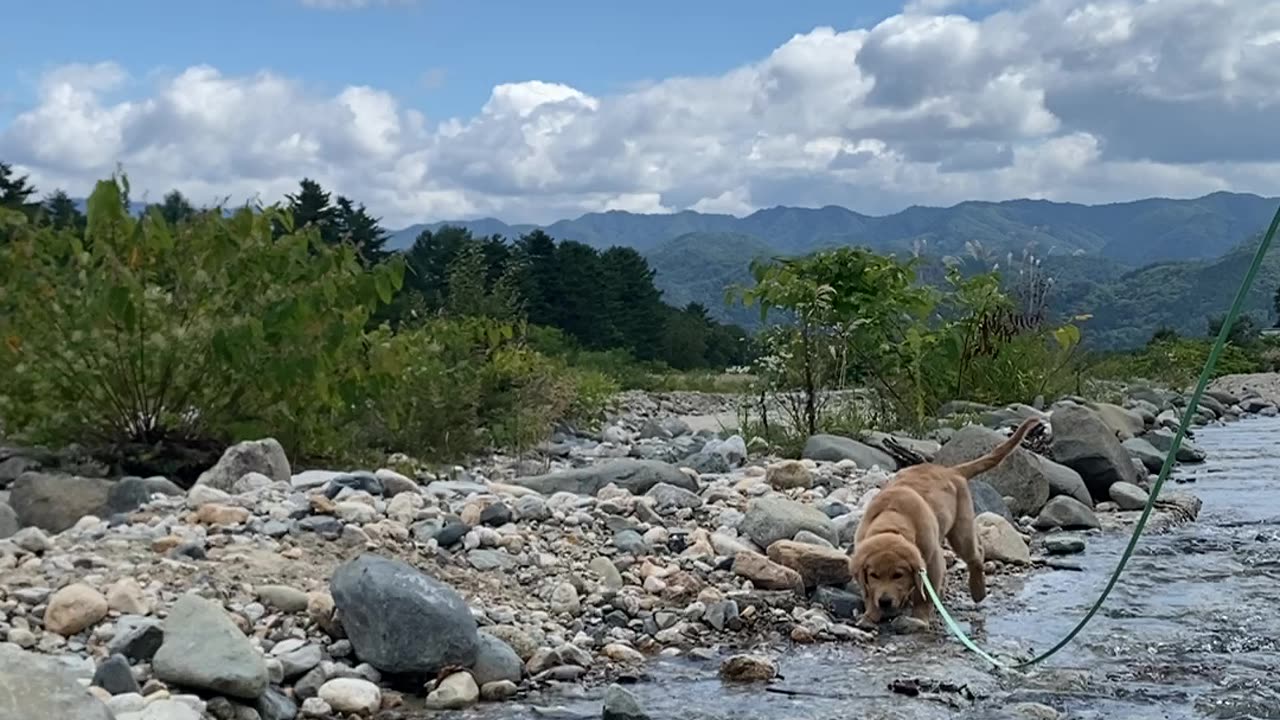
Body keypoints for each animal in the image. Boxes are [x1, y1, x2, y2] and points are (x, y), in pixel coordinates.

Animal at [849, 415, 1039, 627]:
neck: (892, 517)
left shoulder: (931, 561)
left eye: (898, 575)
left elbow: (924, 593)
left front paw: (919, 617)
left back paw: (977, 590)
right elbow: (868, 591)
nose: (884, 602)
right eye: (873, 575)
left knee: (976, 554)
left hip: (961, 528)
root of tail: (951, 471)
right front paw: (870, 614)